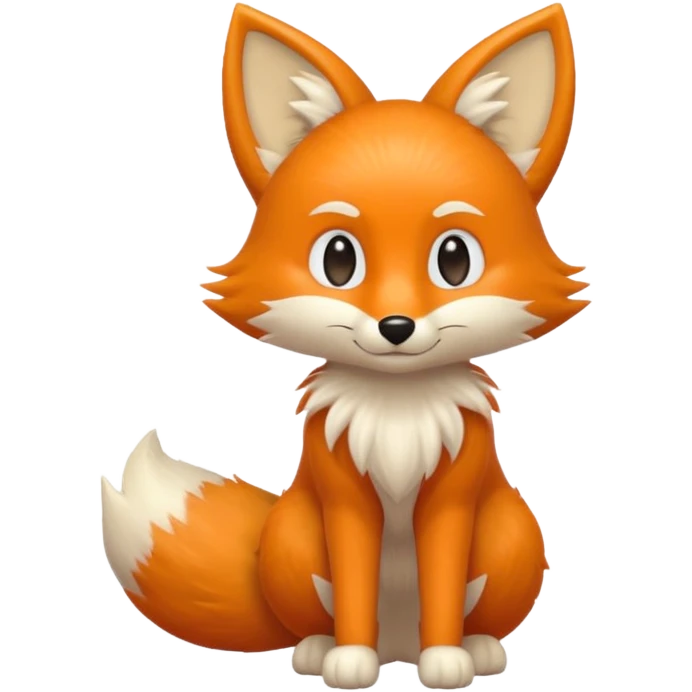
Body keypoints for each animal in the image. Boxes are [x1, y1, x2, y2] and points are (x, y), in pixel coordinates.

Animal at [100, 2, 586, 689]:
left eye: (455, 260)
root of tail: (398, 646)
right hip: (294, 537)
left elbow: (442, 579)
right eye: (338, 259)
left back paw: (477, 648)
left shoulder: (453, 498)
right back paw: (320, 648)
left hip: (510, 534)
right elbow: (354, 580)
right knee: (315, 619)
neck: (397, 413)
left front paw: (446, 659)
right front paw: (349, 659)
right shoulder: (343, 500)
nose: (396, 326)